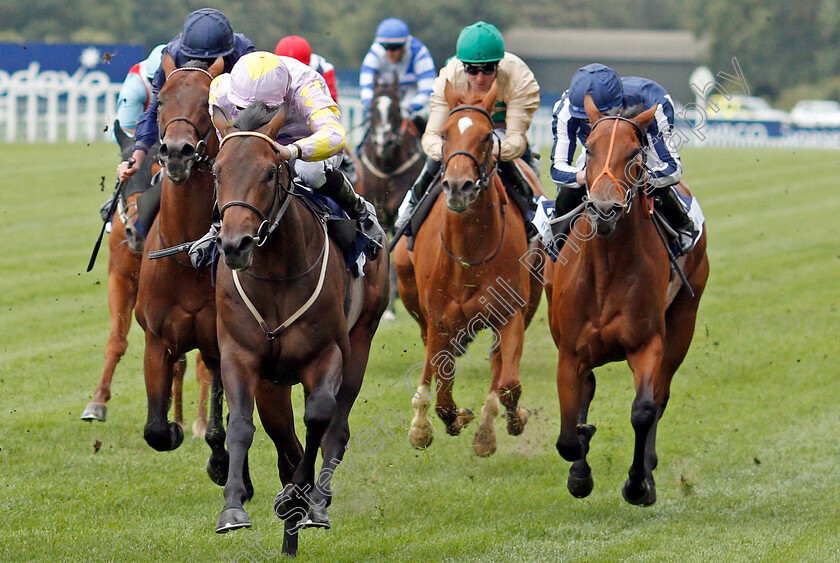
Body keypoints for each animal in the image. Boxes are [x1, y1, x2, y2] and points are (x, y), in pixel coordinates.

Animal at [80, 119, 210, 436]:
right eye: (125, 177)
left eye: (156, 175)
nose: (134, 233)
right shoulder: (122, 279)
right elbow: (117, 340)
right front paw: (97, 402)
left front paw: (201, 421)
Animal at [213, 103, 390, 556]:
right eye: (218, 171)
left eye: (269, 172)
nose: (236, 244)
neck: (277, 273)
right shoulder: (240, 354)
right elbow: (242, 424)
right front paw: (233, 508)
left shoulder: (326, 354)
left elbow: (319, 417)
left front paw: (303, 498)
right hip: (273, 382)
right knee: (283, 437)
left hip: (362, 340)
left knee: (336, 428)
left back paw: (315, 502)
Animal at [394, 79, 544, 458]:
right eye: (445, 134)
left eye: (488, 136)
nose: (458, 186)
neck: (468, 253)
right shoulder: (439, 317)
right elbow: (444, 393)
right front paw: (439, 421)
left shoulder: (511, 313)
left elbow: (508, 383)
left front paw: (504, 422)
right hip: (411, 292)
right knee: (429, 355)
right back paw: (420, 419)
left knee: (498, 364)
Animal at [544, 94, 708, 504]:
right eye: (589, 147)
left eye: (635, 152)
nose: (605, 209)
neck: (607, 267)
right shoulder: (569, 349)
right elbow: (568, 435)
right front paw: (580, 467)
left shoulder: (647, 342)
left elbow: (644, 410)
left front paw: (637, 482)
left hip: (684, 320)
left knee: (661, 394)